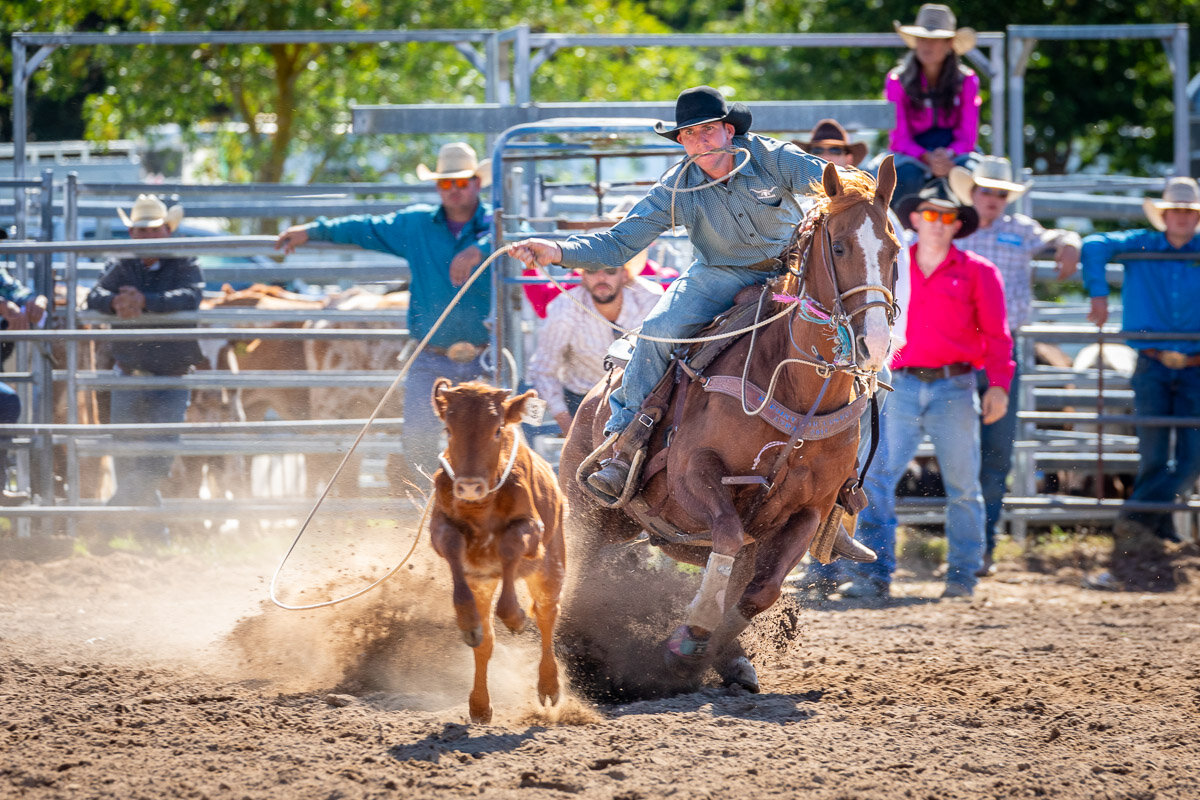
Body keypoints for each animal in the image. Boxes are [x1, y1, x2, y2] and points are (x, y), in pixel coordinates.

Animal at [429, 379, 564, 724]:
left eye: (497, 429)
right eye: (448, 429)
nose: (469, 486)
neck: (481, 506)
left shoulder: (532, 531)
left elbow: (510, 546)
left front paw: (515, 617)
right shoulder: (441, 530)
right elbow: (451, 545)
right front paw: (468, 623)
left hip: (552, 567)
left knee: (546, 615)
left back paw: (549, 686)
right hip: (485, 583)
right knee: (487, 641)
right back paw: (479, 704)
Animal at [556, 155, 897, 695]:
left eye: (895, 249)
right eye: (840, 246)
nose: (876, 343)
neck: (795, 393)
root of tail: (591, 400)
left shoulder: (810, 510)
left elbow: (760, 591)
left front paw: (706, 652)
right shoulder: (693, 475)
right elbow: (729, 538)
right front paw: (690, 637)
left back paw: (731, 662)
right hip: (590, 512)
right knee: (581, 575)